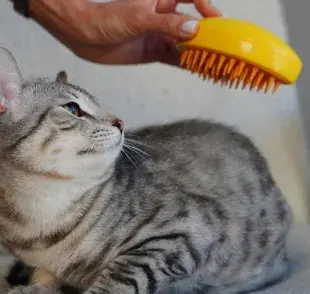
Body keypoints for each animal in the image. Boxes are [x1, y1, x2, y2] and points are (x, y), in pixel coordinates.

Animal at [0, 46, 294, 294]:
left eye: (99, 103)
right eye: (73, 109)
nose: (119, 121)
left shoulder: (186, 230)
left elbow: (120, 279)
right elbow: (44, 277)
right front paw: (32, 287)